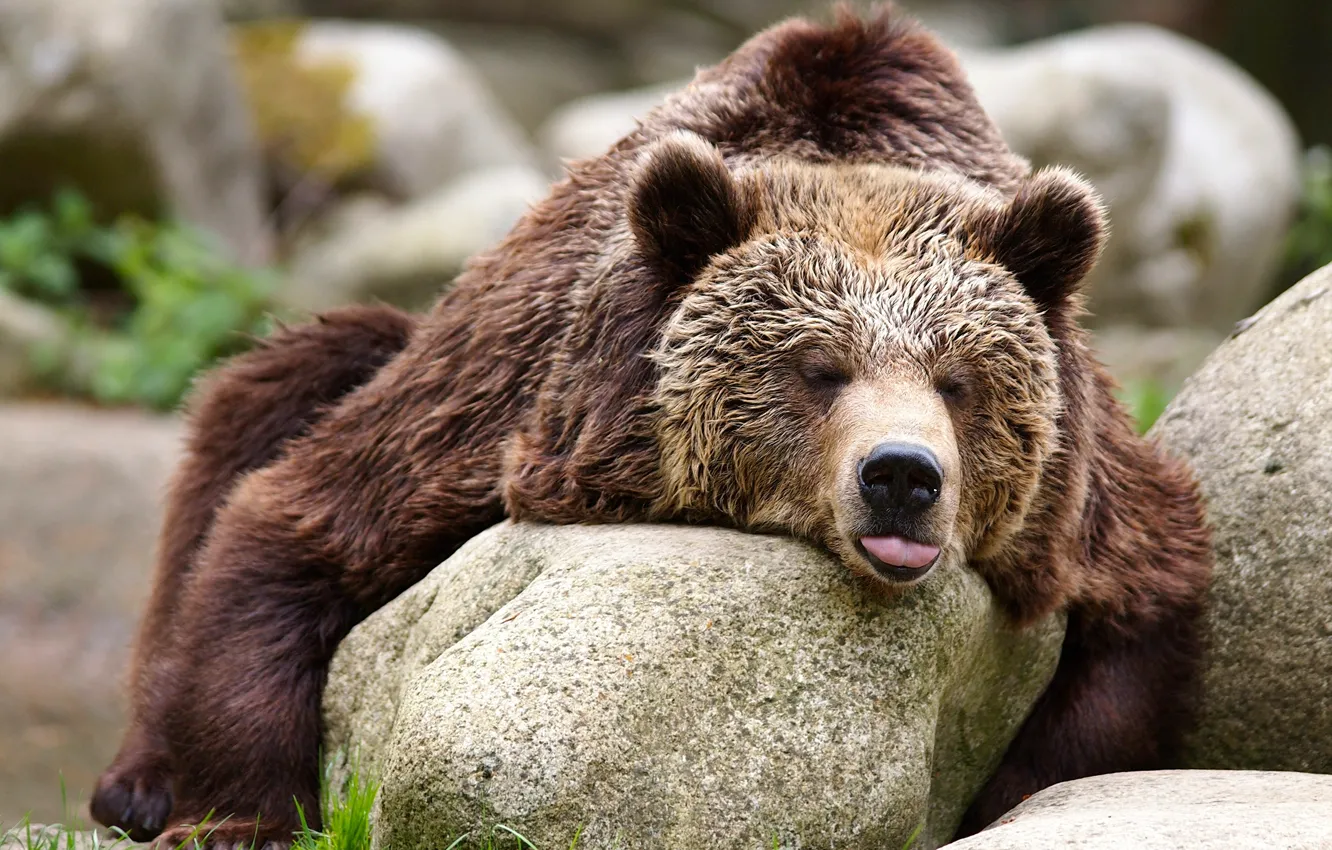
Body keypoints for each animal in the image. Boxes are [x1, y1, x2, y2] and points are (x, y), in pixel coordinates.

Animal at [91, 6, 1212, 847]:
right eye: (819, 369)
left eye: (958, 379)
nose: (902, 474)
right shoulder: (513, 406)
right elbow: (297, 521)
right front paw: (233, 815)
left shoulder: (1079, 498)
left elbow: (1136, 621)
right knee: (274, 391)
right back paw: (136, 781)